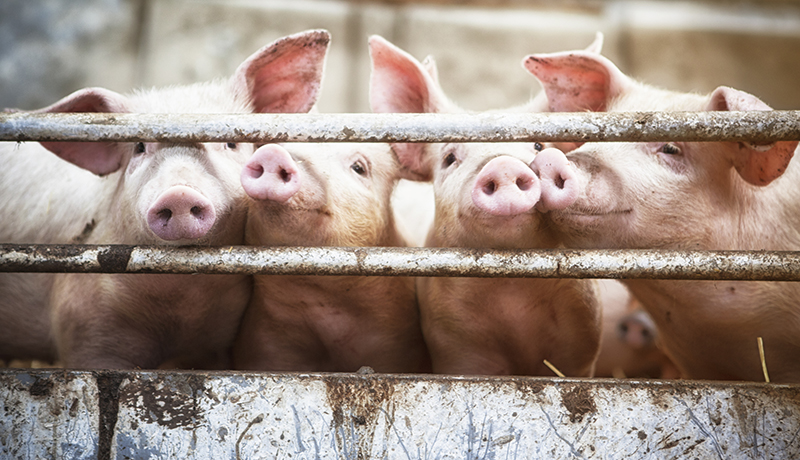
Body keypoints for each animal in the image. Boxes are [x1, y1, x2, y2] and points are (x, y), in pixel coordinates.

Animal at [368, 35, 601, 376]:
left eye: (538, 145)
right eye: (450, 158)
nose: (503, 165)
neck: (511, 292)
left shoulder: (582, 341)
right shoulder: (455, 343)